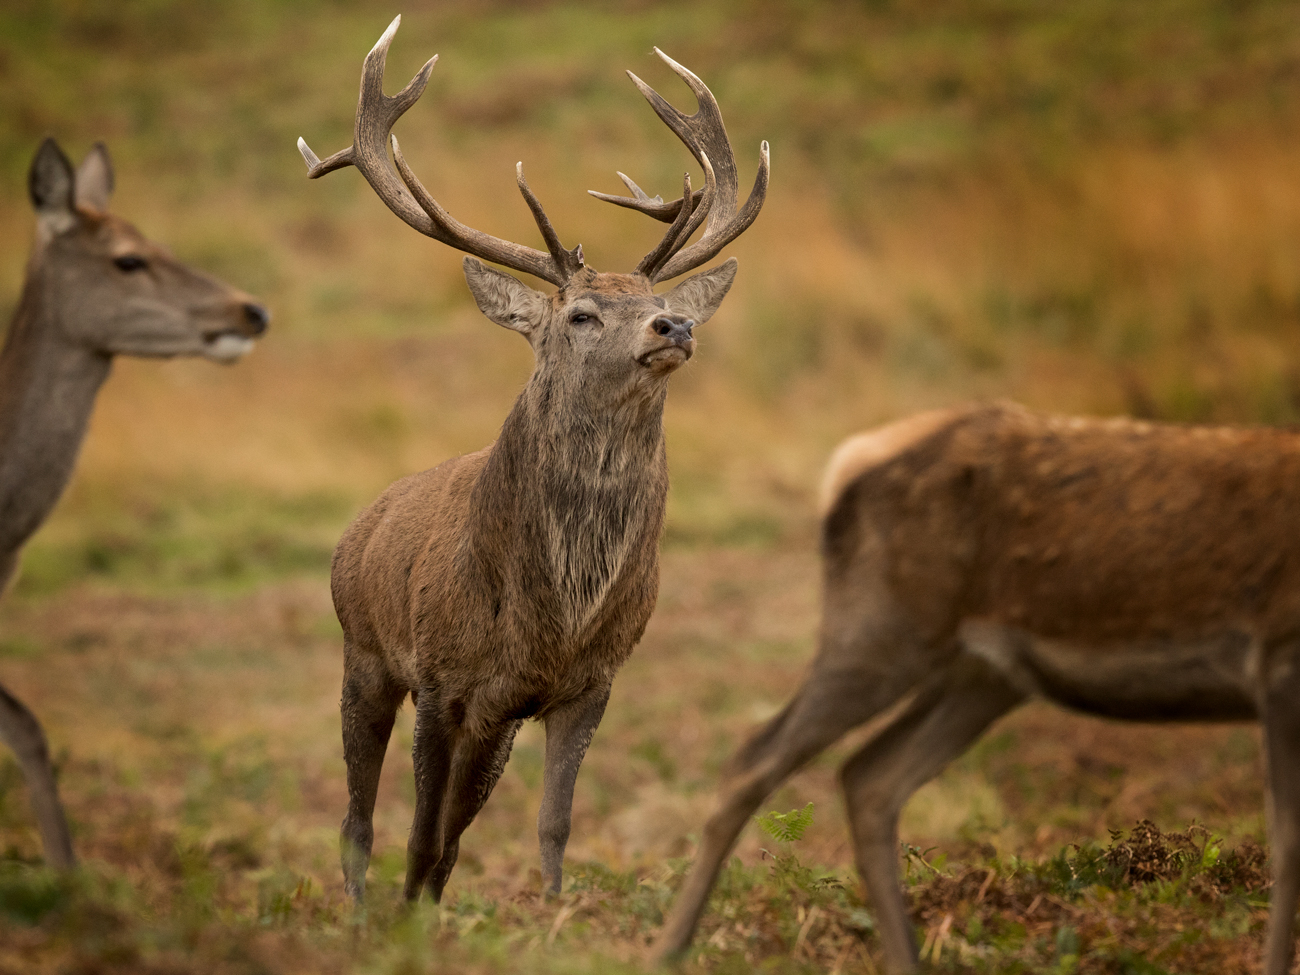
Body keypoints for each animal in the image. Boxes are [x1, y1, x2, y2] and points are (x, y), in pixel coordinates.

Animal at [0, 138, 269, 870]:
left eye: (160, 239)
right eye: (126, 257)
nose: (250, 311)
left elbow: (28, 725)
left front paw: (69, 871)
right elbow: (26, 724)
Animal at [296, 16, 767, 904]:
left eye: (659, 303)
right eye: (581, 313)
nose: (675, 328)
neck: (554, 615)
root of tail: (360, 524)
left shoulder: (586, 684)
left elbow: (549, 825)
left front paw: (550, 911)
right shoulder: (441, 677)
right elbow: (418, 832)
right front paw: (407, 922)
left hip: (492, 718)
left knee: (448, 828)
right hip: (363, 651)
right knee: (358, 820)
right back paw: (362, 910)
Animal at [653, 400, 1300, 975]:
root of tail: (848, 462)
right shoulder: (1278, 659)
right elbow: (1288, 841)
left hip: (982, 678)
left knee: (869, 774)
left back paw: (908, 960)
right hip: (883, 628)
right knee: (756, 755)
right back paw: (668, 950)